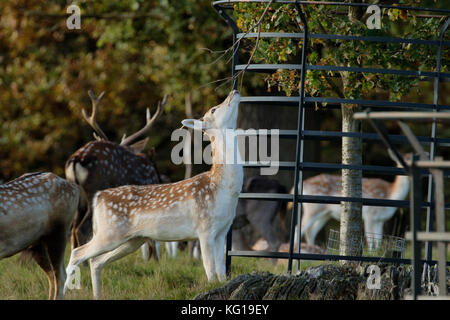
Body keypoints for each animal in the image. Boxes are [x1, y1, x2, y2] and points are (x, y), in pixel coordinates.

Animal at [63, 89, 243, 298]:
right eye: (214, 109)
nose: (234, 91)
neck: (220, 189)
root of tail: (99, 197)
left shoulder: (222, 231)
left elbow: (221, 272)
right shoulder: (204, 227)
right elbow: (210, 271)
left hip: (131, 239)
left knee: (96, 261)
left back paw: (97, 295)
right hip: (110, 232)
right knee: (77, 253)